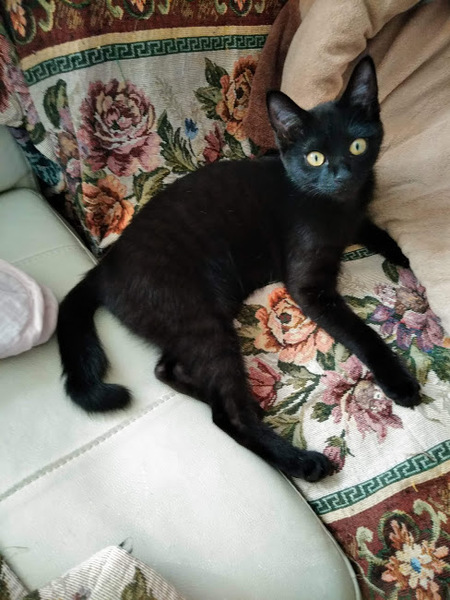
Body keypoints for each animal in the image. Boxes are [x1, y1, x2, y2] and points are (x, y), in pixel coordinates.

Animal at [57, 56, 421, 482]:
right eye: (315, 158)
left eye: (357, 146)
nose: (343, 175)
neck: (338, 209)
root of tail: (104, 267)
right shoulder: (309, 287)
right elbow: (360, 332)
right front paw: (398, 380)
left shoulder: (357, 216)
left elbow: (376, 230)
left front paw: (404, 254)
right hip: (199, 316)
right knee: (226, 414)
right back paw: (301, 461)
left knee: (169, 370)